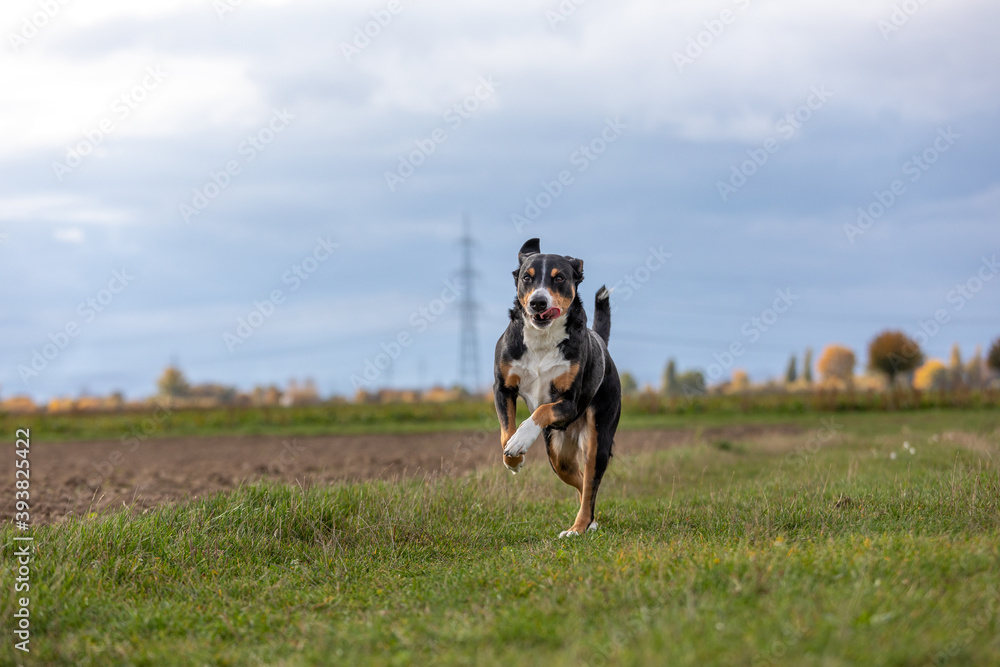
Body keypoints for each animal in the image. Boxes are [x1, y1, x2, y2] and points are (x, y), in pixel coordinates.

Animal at [494, 239, 620, 536]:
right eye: (527, 278)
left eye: (559, 278)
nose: (538, 301)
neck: (542, 338)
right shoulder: (502, 388)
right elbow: (506, 432)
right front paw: (513, 459)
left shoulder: (569, 402)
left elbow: (539, 412)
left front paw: (521, 440)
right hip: (557, 454)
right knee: (581, 482)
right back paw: (590, 522)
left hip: (597, 438)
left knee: (590, 484)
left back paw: (579, 527)